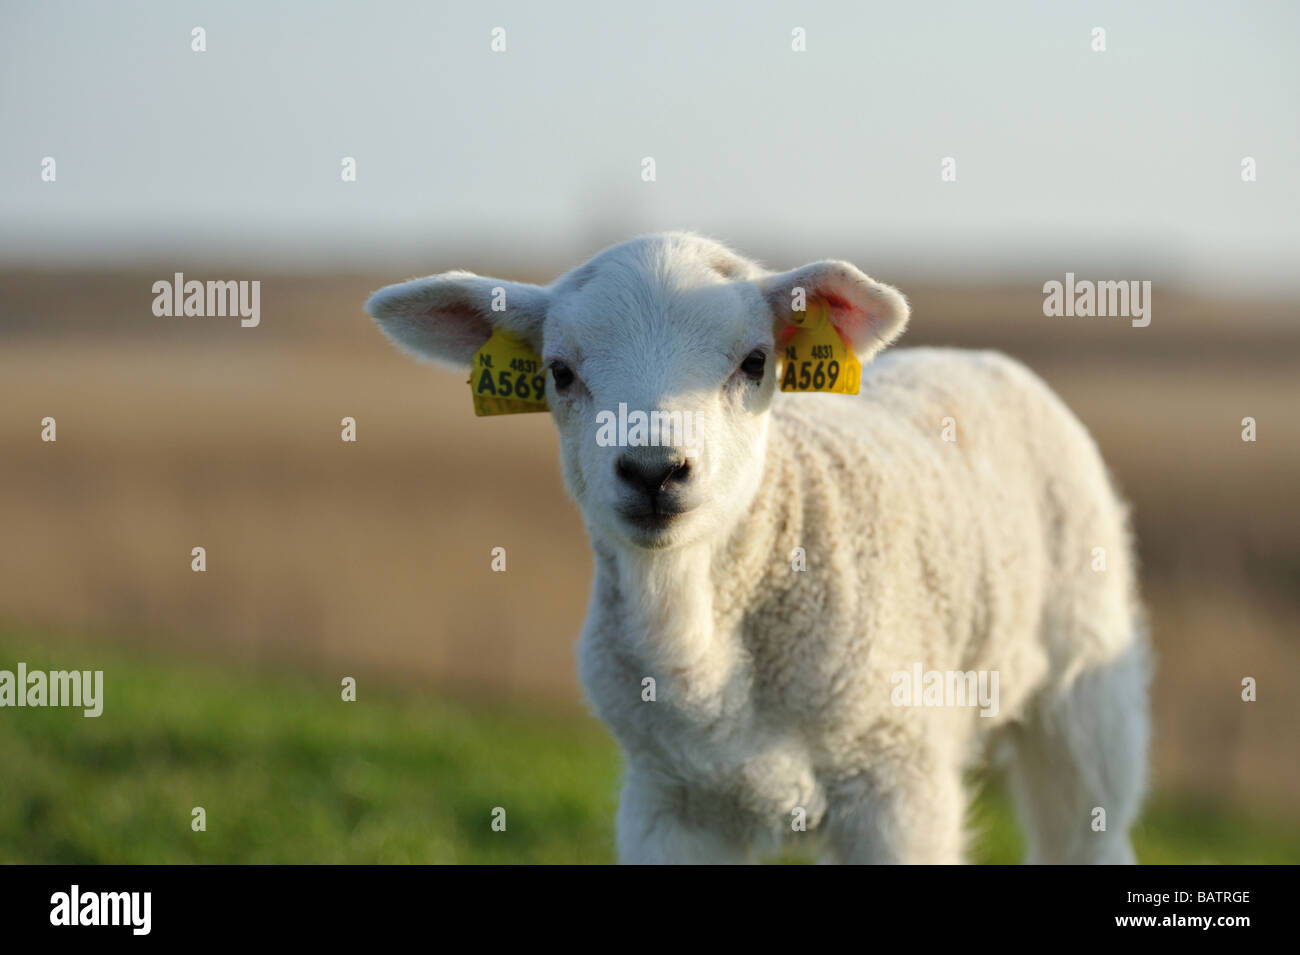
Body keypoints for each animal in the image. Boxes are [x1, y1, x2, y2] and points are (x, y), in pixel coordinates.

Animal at [366, 232, 1151, 864]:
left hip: (1085, 685)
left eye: (753, 362)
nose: (652, 470)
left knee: (1086, 833)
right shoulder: (668, 799)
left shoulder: (899, 781)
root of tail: (977, 357)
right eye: (559, 372)